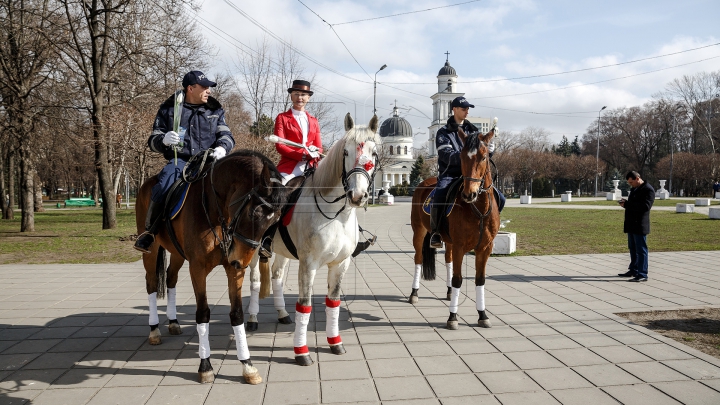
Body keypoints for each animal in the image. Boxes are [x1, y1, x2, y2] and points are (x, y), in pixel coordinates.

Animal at [134, 150, 286, 384]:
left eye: (275, 220)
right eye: (253, 213)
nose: (241, 260)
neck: (217, 211)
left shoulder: (234, 270)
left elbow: (237, 313)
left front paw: (247, 365)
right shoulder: (198, 268)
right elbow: (203, 313)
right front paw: (205, 365)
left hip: (177, 254)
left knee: (170, 278)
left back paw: (173, 322)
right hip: (151, 250)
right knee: (151, 283)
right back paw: (154, 331)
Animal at [248, 112, 380, 364]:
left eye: (374, 154)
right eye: (345, 152)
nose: (357, 196)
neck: (337, 214)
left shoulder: (340, 264)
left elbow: (333, 302)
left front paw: (335, 342)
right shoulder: (308, 265)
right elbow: (305, 305)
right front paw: (301, 352)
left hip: (282, 251)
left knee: (277, 276)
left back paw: (282, 313)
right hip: (252, 250)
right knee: (255, 280)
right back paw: (251, 319)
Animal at [410, 128, 500, 330]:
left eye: (484, 157)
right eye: (462, 157)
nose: (469, 194)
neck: (479, 208)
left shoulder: (485, 248)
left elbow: (480, 279)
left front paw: (482, 315)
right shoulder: (460, 246)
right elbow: (458, 279)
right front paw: (452, 317)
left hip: (448, 241)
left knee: (448, 261)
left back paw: (450, 292)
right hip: (418, 232)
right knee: (418, 259)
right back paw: (414, 293)